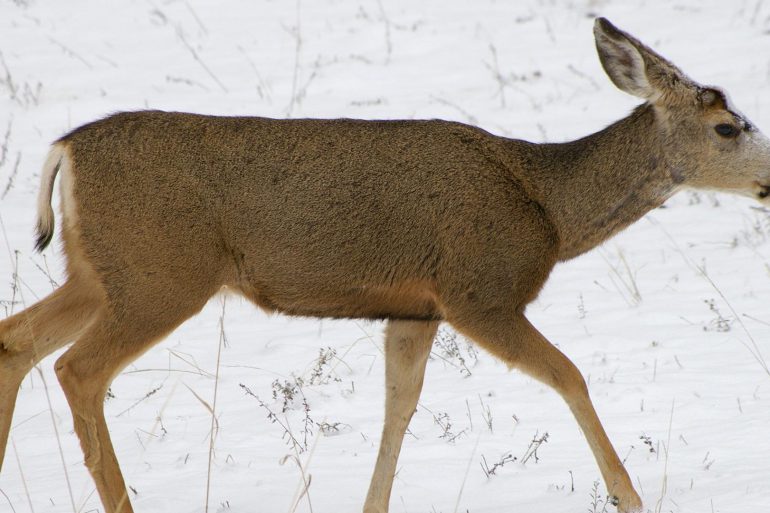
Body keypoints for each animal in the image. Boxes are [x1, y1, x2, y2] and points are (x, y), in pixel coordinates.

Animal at [0, 17, 768, 513]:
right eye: (728, 127)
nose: (768, 180)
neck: (546, 206)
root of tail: (67, 148)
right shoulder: (478, 291)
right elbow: (570, 375)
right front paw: (628, 494)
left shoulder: (414, 310)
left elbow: (399, 408)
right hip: (161, 274)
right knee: (77, 368)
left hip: (101, 272)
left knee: (18, 340)